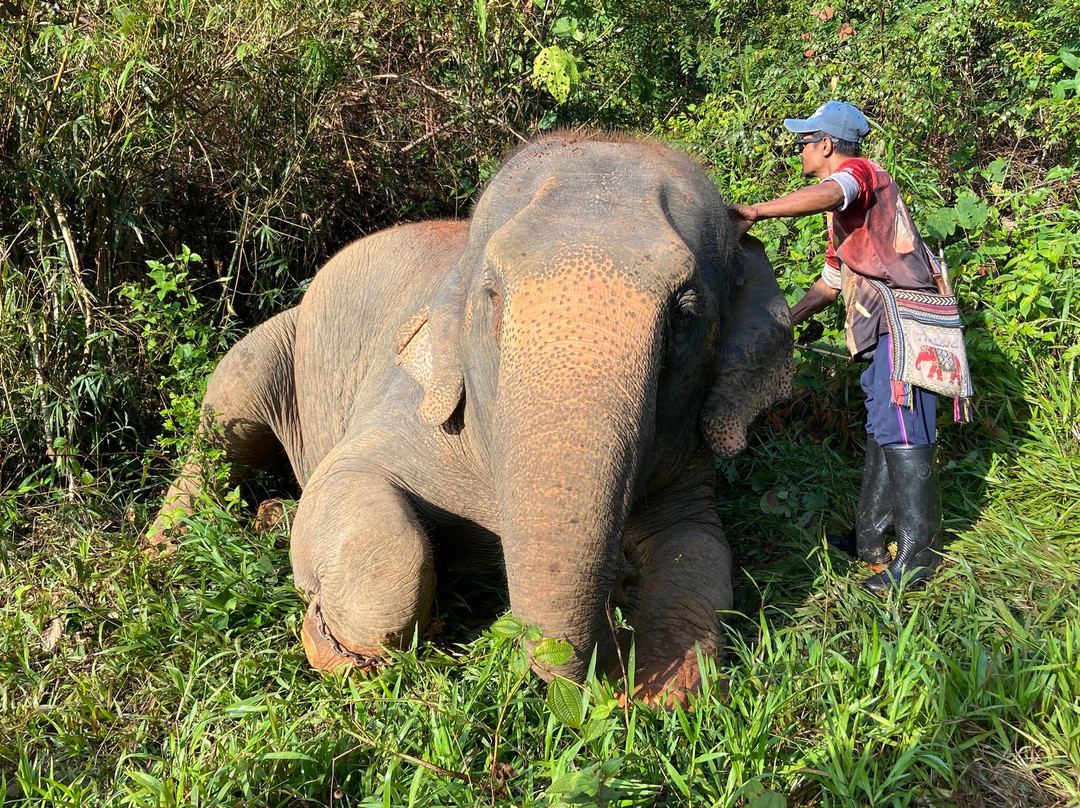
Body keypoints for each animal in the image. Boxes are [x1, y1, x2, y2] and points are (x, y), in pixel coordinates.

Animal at [149, 133, 793, 704]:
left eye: (685, 313)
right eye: (492, 295)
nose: (606, 660)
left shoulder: (685, 459)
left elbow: (700, 551)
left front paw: (660, 687)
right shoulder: (416, 403)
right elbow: (350, 482)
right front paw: (343, 647)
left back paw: (270, 518)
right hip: (281, 339)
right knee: (228, 410)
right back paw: (167, 549)